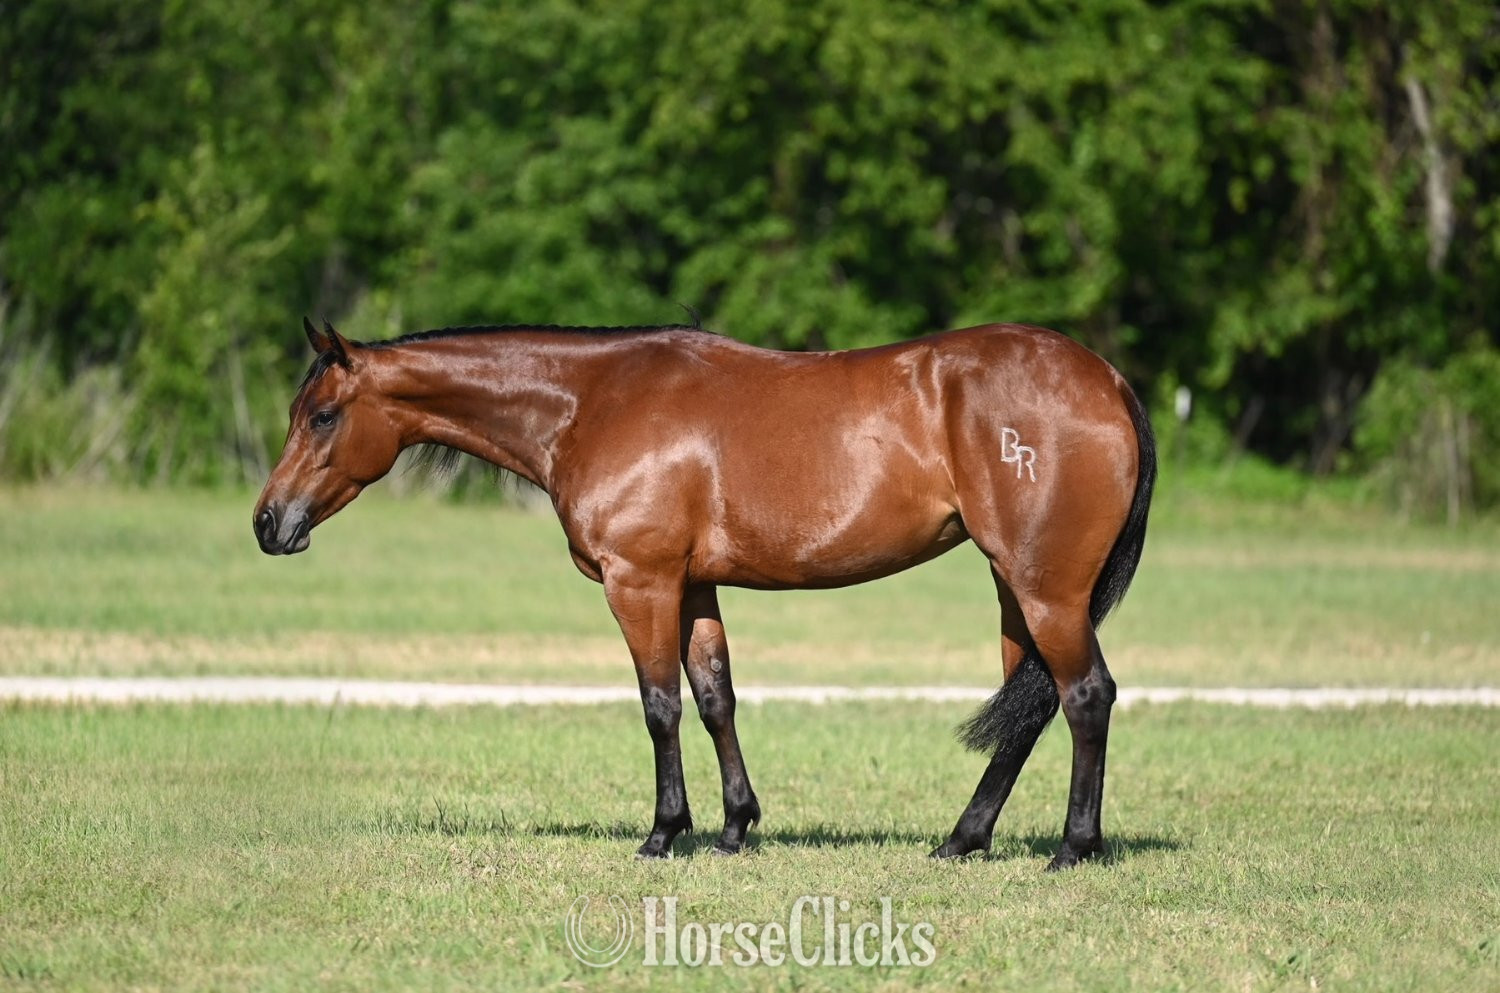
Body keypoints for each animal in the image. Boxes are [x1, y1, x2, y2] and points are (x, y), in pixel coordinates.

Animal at [253, 317, 1155, 867]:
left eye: (323, 415)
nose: (268, 522)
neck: (592, 402)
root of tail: (1106, 377)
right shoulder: (693, 588)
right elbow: (716, 697)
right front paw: (733, 826)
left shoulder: (640, 581)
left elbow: (660, 705)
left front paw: (664, 831)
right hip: (1015, 590)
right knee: (1027, 708)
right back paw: (962, 839)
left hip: (1045, 588)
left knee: (1084, 693)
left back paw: (1072, 845)